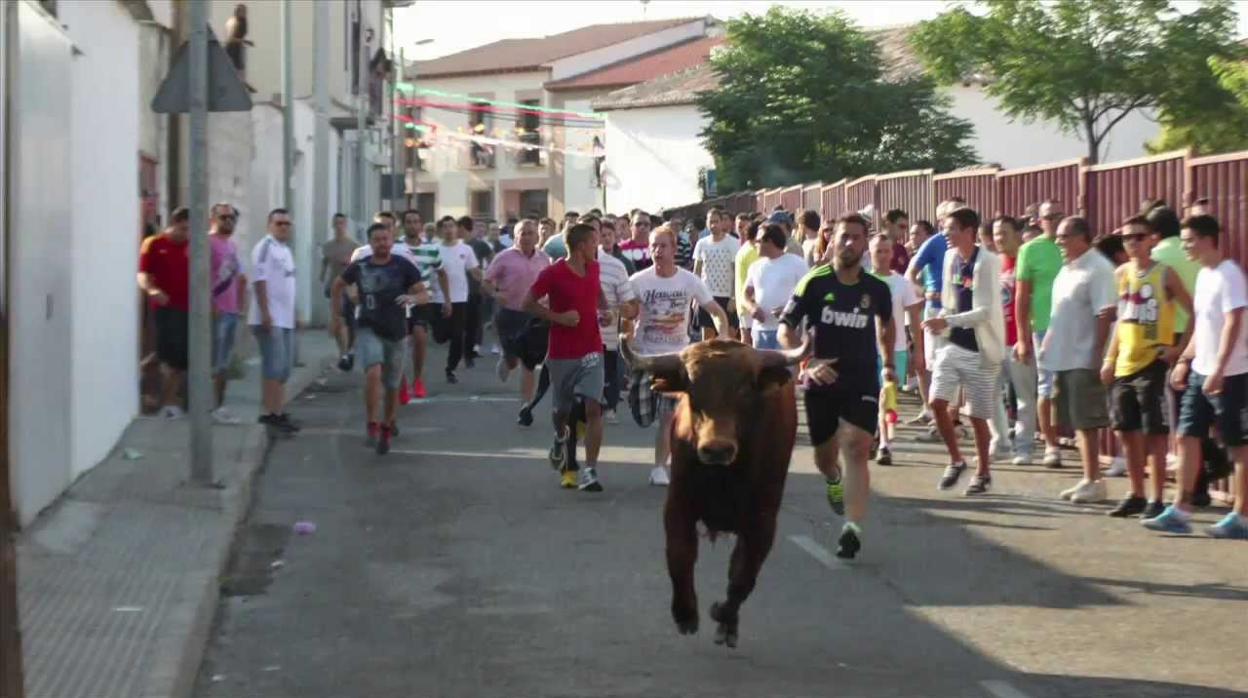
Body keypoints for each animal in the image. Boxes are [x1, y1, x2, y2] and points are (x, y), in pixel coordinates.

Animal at [624, 337, 808, 649]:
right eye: (692, 391)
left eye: (745, 390)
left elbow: (743, 576)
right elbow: (680, 556)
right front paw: (686, 615)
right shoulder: (678, 505)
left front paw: (722, 616)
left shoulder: (762, 520)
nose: (716, 449)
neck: (725, 475)